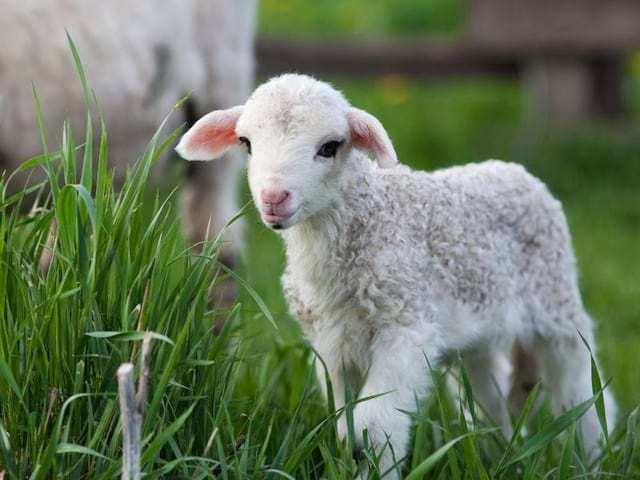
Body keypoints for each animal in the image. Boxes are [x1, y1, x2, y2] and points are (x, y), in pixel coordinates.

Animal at [175, 74, 616, 476]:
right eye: (247, 143)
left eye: (329, 147)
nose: (274, 198)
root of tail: (514, 171)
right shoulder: (331, 343)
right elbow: (346, 429)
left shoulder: (406, 328)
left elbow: (374, 429)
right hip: (479, 326)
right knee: (489, 386)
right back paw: (499, 452)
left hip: (555, 299)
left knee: (580, 384)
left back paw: (593, 457)